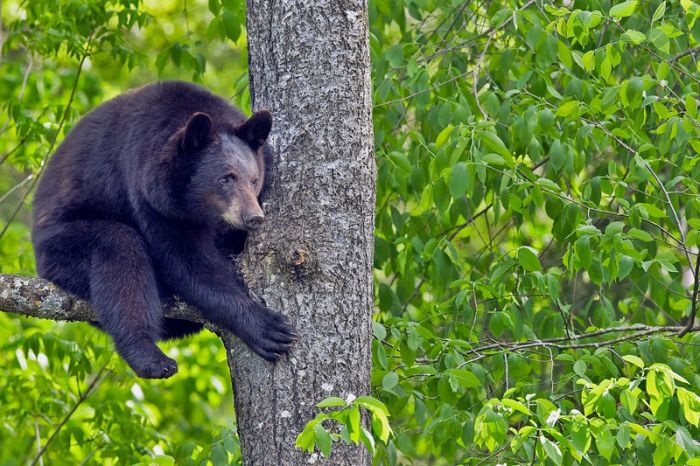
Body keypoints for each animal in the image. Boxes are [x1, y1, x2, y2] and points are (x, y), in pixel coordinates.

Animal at [32, 80, 298, 378]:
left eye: (253, 179)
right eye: (226, 178)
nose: (254, 217)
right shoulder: (149, 194)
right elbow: (187, 263)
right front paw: (266, 326)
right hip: (61, 244)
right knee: (119, 252)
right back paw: (150, 357)